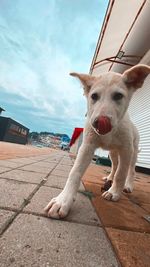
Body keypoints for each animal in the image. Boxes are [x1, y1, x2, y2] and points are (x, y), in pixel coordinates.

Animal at [44, 65, 150, 220]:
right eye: (94, 96)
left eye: (118, 96)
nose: (99, 122)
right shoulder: (87, 146)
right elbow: (75, 172)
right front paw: (62, 201)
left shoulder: (126, 149)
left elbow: (121, 174)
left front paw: (114, 192)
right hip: (113, 153)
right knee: (114, 165)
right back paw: (109, 177)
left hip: (133, 152)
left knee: (130, 170)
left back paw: (128, 185)